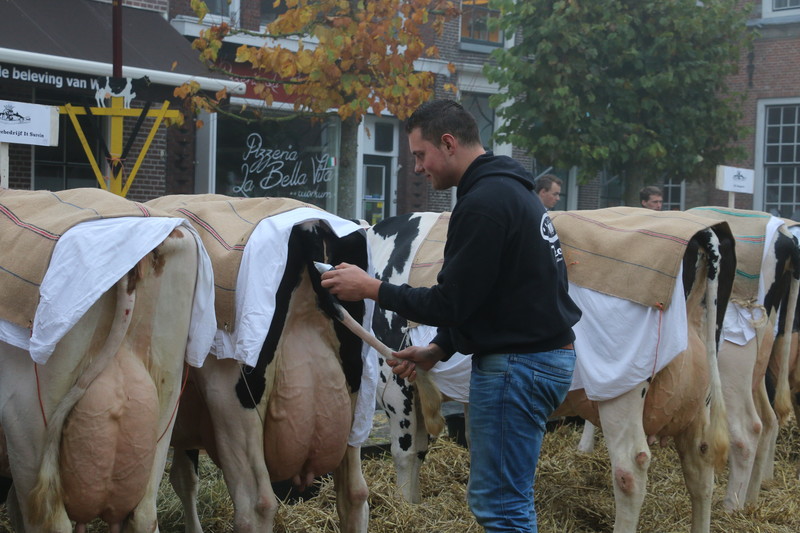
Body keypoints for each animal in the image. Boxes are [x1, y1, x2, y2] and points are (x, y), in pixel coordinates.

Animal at [145, 194, 375, 533]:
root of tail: (310, 224)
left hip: (233, 401)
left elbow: (182, 479)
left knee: (256, 505)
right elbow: (185, 478)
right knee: (354, 493)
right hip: (353, 396)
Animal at [369, 207, 736, 533]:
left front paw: (404, 507)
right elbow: (439, 448)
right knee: (701, 469)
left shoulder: (396, 381)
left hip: (623, 387)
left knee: (630, 469)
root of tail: (699, 232)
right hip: (697, 403)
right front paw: (417, 503)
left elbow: (404, 452)